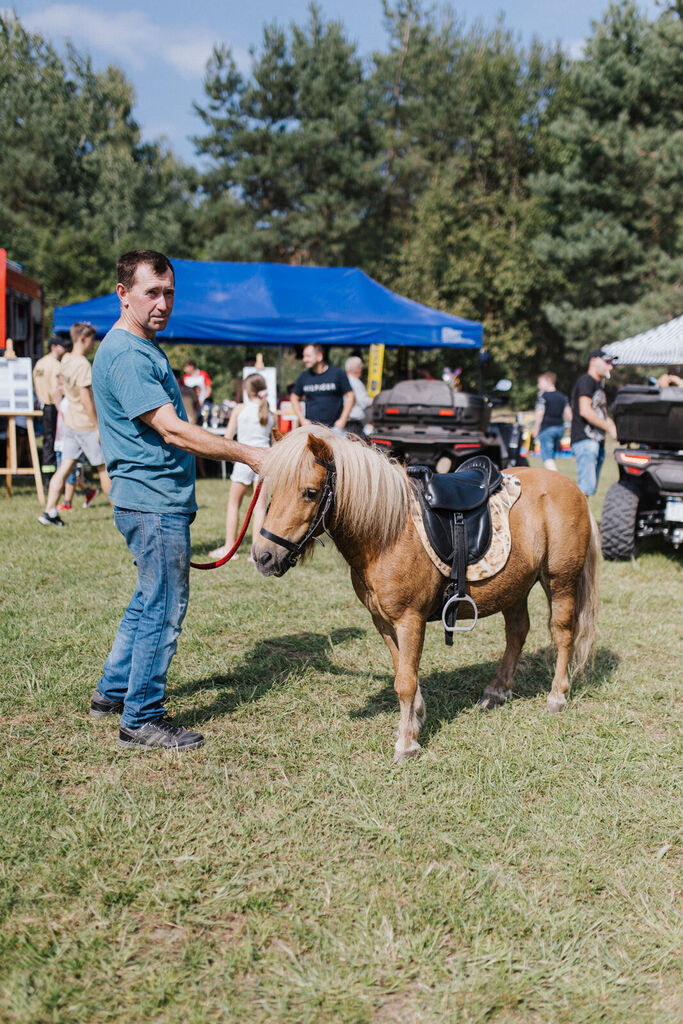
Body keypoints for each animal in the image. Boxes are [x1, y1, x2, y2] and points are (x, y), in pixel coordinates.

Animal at [250, 423, 598, 761]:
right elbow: (403, 670)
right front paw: (415, 720)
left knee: (562, 633)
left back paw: (557, 695)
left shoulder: (410, 619)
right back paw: (497, 690)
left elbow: (405, 681)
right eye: (271, 489)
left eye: (310, 492)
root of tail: (573, 488)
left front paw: (406, 743)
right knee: (517, 632)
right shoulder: (383, 622)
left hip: (561, 580)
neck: (387, 533)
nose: (264, 556)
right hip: (515, 587)